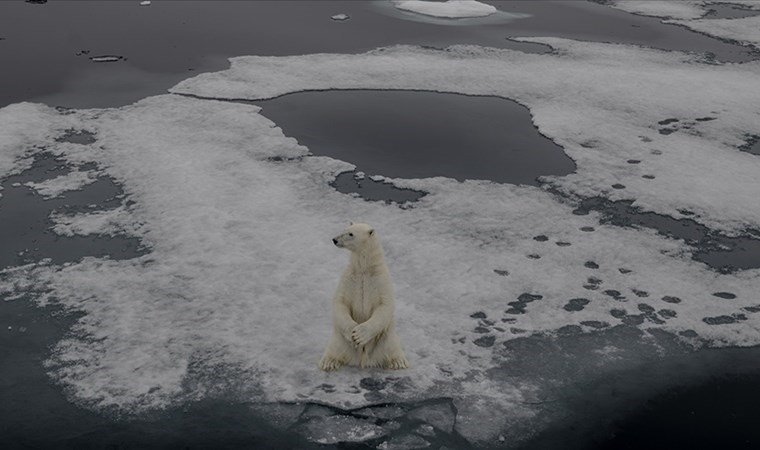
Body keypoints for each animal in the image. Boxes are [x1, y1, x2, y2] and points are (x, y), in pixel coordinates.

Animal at [318, 223, 410, 370]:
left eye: (351, 234)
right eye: (344, 230)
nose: (334, 240)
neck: (364, 270)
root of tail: (362, 360)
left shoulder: (381, 280)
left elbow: (385, 305)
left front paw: (360, 335)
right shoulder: (349, 278)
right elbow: (340, 302)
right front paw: (353, 332)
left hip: (385, 337)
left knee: (391, 345)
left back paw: (399, 362)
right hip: (340, 339)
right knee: (335, 346)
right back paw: (328, 362)